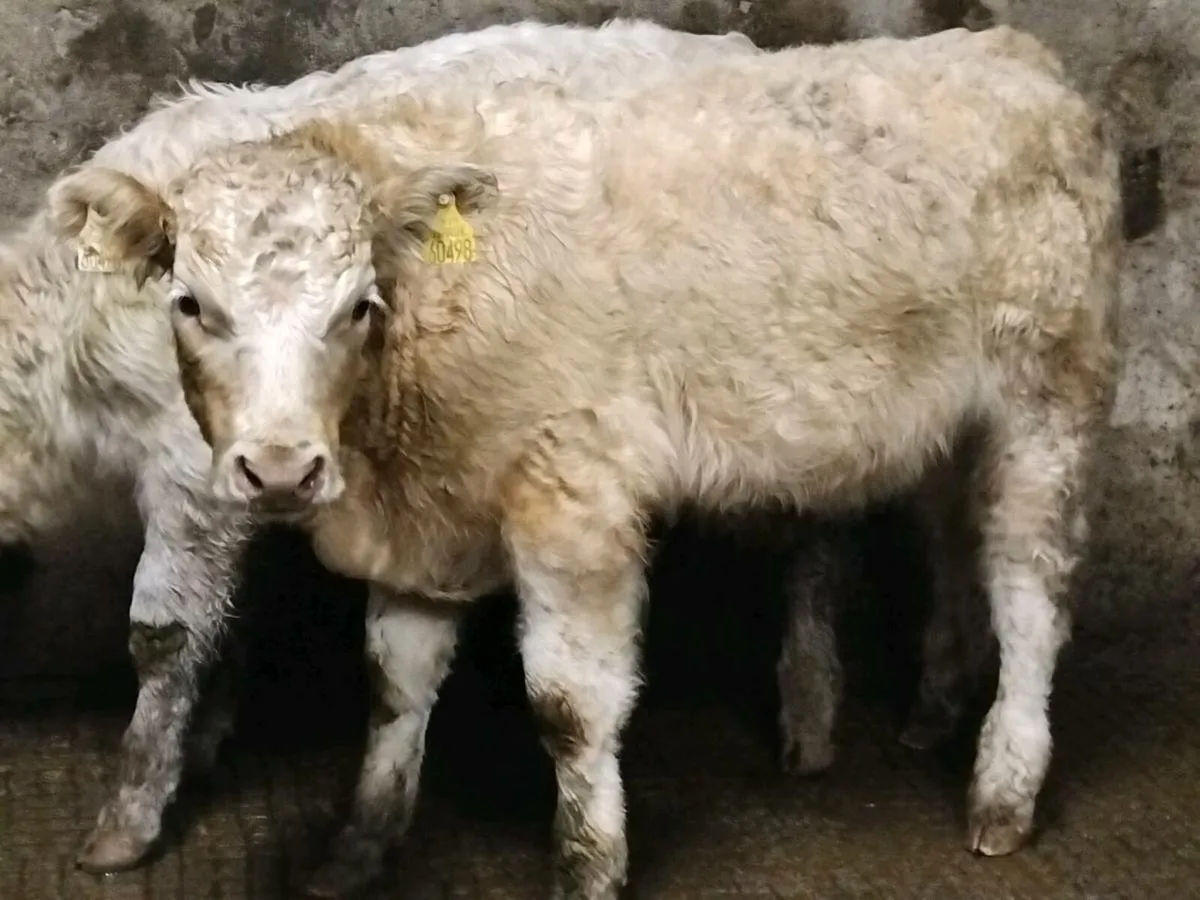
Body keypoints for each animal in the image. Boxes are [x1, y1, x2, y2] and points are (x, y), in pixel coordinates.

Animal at [48, 22, 1122, 899]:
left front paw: (589, 866)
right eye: (191, 303)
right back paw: (934, 708)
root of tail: (1010, 54)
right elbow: (394, 685)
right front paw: (359, 847)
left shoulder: (575, 496)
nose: (280, 470)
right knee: (954, 546)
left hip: (1049, 398)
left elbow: (570, 705)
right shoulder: (427, 518)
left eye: (358, 304)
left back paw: (1002, 789)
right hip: (944, 426)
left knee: (1030, 587)